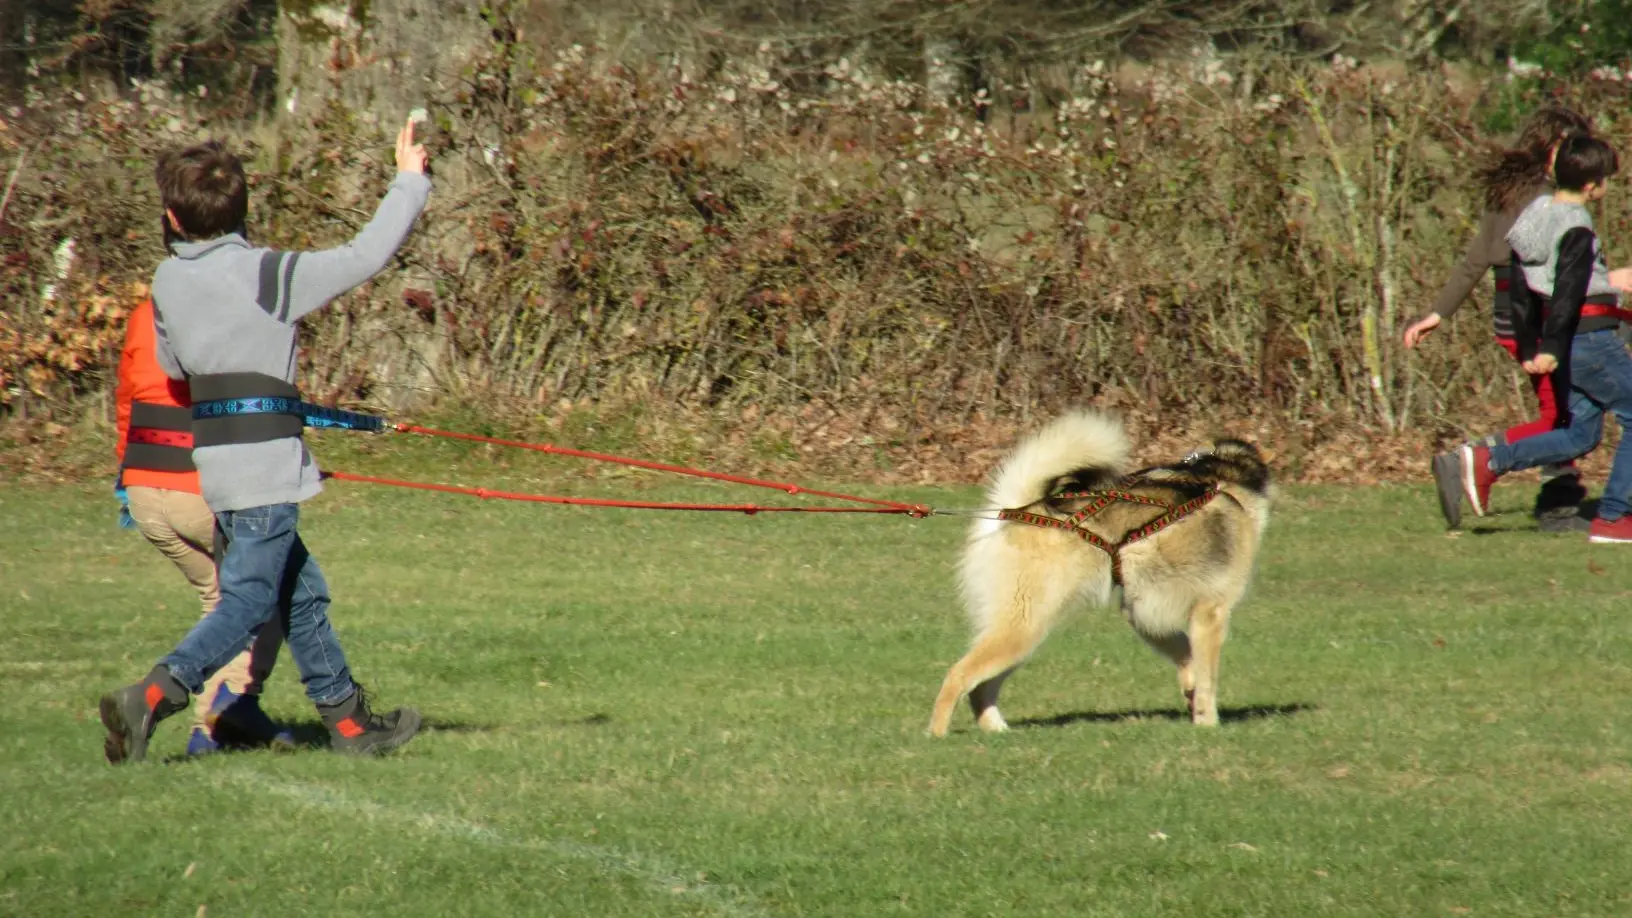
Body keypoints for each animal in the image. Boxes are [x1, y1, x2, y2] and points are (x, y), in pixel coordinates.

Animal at [926, 411, 1266, 731]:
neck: (1223, 478)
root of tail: (1016, 511)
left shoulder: (1142, 612)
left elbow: (1187, 657)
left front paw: (1191, 693)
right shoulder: (1210, 613)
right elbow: (1207, 677)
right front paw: (1207, 721)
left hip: (1023, 631)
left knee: (979, 688)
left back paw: (996, 730)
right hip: (1023, 626)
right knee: (958, 676)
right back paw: (937, 736)